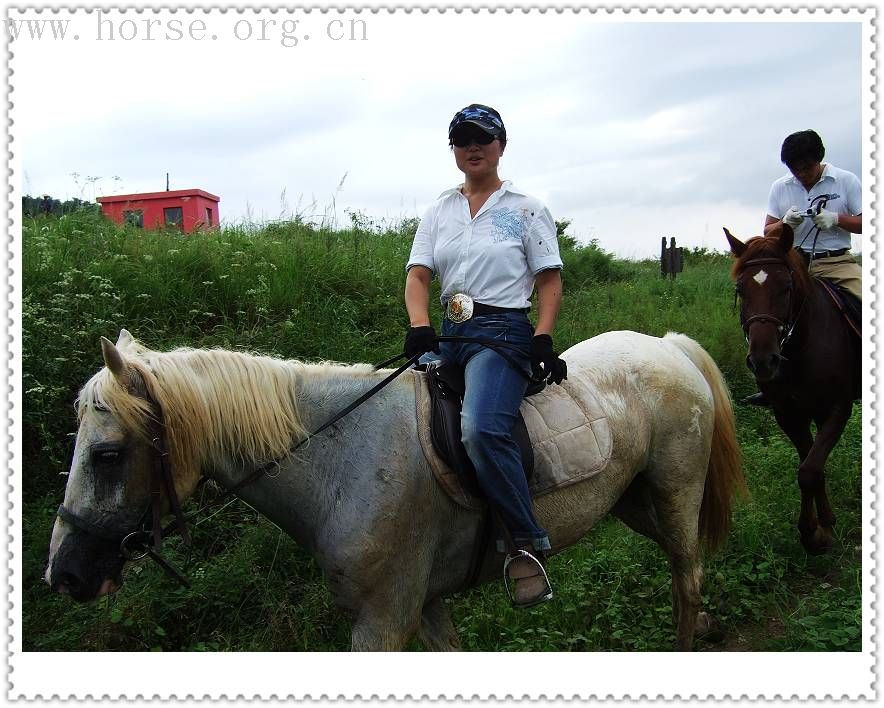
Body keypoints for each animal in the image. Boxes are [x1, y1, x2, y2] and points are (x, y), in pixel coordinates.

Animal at [45, 330, 744, 648]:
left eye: (106, 455)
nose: (65, 574)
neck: (336, 457)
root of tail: (667, 346)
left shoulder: (382, 620)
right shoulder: (424, 604)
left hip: (675, 493)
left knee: (687, 576)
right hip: (634, 502)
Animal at [720, 224, 860, 556]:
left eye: (786, 287)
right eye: (741, 289)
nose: (763, 361)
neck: (800, 348)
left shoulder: (837, 409)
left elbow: (810, 470)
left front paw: (816, 534)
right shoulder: (789, 414)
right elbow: (811, 466)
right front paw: (821, 527)